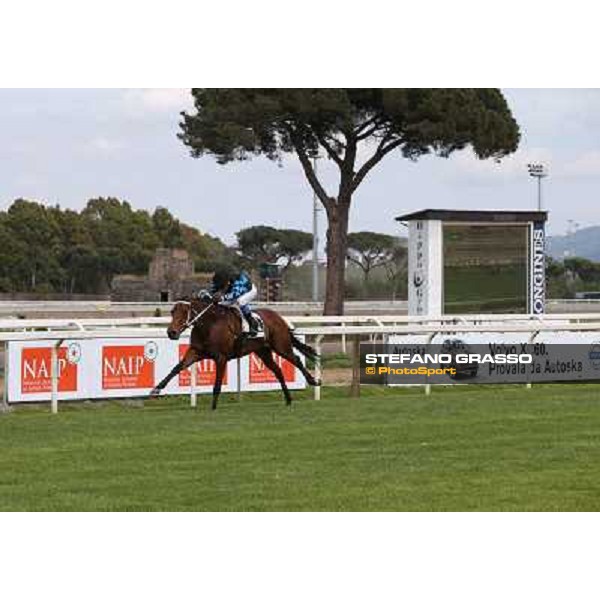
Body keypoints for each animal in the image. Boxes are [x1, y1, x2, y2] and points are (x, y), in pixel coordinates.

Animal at [149, 298, 322, 410]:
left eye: (185, 312)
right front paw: (156, 389)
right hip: (263, 351)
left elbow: (217, 383)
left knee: (297, 359)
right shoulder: (196, 352)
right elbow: (176, 368)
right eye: (172, 312)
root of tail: (279, 318)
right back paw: (288, 399)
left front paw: (213, 406)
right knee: (278, 370)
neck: (208, 325)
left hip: (281, 346)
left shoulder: (221, 358)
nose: (171, 332)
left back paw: (313, 381)